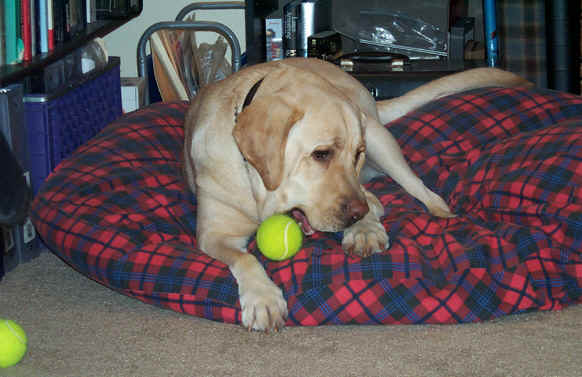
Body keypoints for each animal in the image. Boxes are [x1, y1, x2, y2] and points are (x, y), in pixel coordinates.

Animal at [184, 57, 532, 330]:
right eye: (321, 154)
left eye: (356, 154)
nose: (356, 214)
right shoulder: (212, 234)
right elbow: (244, 258)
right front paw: (263, 298)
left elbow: (371, 204)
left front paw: (363, 229)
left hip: (379, 138)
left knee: (415, 189)